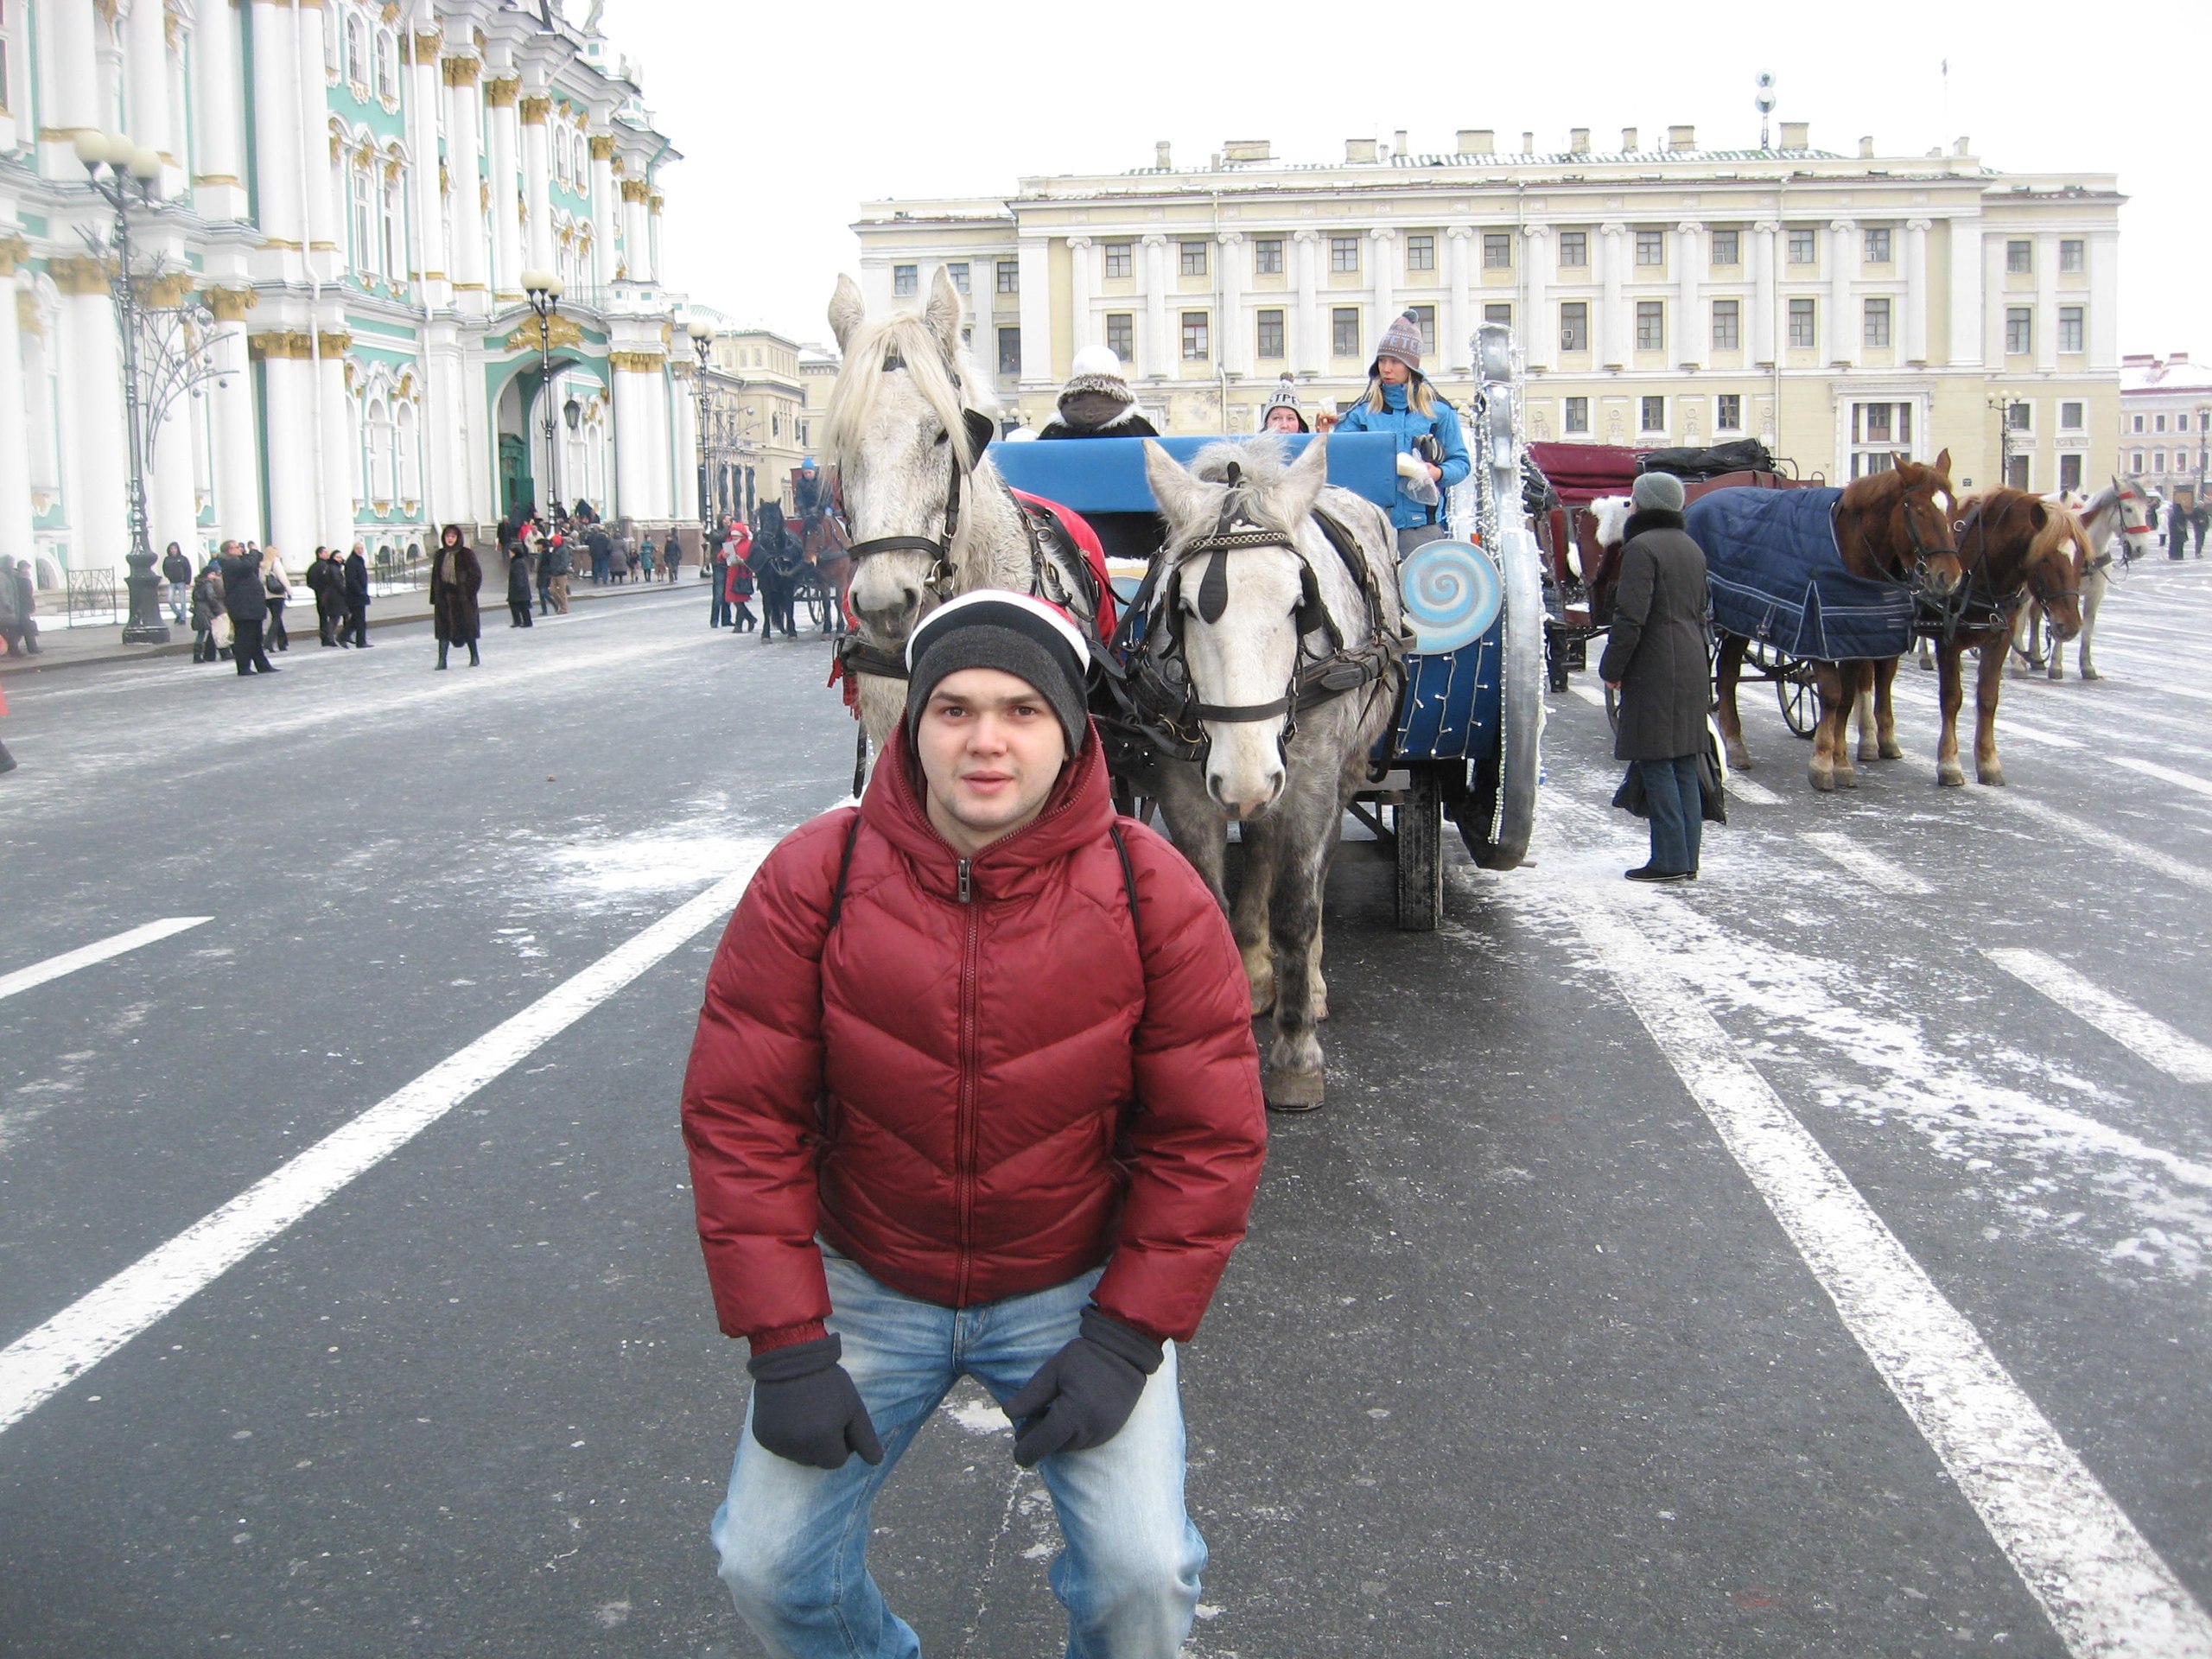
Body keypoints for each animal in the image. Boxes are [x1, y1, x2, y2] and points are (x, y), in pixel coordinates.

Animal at [1133, 435, 1404, 1111]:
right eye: (1183, 607)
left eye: (1298, 604)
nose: (1247, 777)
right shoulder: (1187, 790)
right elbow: (1207, 898)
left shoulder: (1309, 785)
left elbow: (1296, 910)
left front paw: (1296, 1052)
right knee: (1258, 843)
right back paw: (1257, 969)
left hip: (1339, 769)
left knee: (1314, 866)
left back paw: (1307, 981)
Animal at [1703, 453, 1961, 792]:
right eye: (1918, 510)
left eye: (1953, 505)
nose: (1950, 577)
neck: (1846, 549)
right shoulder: (1816, 635)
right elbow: (1832, 695)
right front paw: (1823, 764)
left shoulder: (1852, 637)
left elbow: (1846, 699)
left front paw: (1841, 762)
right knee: (1728, 673)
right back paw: (1734, 743)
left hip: (1741, 618)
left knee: (1728, 672)